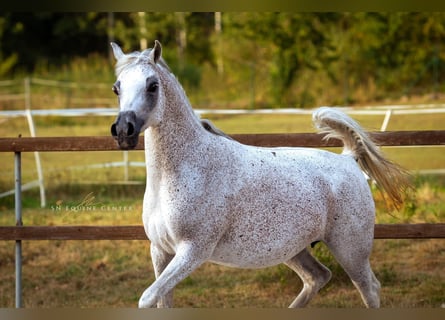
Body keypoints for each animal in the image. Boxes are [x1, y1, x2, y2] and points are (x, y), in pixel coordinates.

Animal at [109, 40, 408, 308]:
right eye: (117, 87)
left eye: (152, 85)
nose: (123, 130)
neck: (187, 170)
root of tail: (347, 159)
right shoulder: (160, 251)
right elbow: (160, 300)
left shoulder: (192, 251)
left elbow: (147, 298)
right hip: (294, 249)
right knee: (318, 277)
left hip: (350, 248)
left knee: (369, 289)